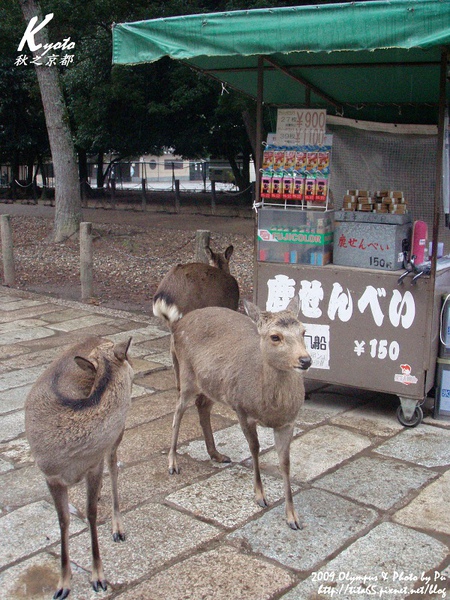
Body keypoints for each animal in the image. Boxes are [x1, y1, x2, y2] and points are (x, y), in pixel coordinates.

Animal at [25, 336, 134, 596]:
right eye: (127, 357)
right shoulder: (50, 475)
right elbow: (63, 519)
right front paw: (63, 584)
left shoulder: (93, 465)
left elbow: (91, 514)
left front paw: (98, 578)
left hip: (118, 433)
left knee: (114, 467)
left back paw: (118, 528)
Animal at [167, 296, 312, 528]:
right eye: (275, 336)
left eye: (304, 331)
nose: (305, 360)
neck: (270, 408)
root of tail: (177, 325)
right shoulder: (242, 410)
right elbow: (254, 449)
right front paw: (260, 497)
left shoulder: (288, 422)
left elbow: (285, 462)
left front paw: (293, 518)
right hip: (186, 374)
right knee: (178, 410)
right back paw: (173, 463)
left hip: (212, 386)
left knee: (202, 406)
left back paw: (216, 454)